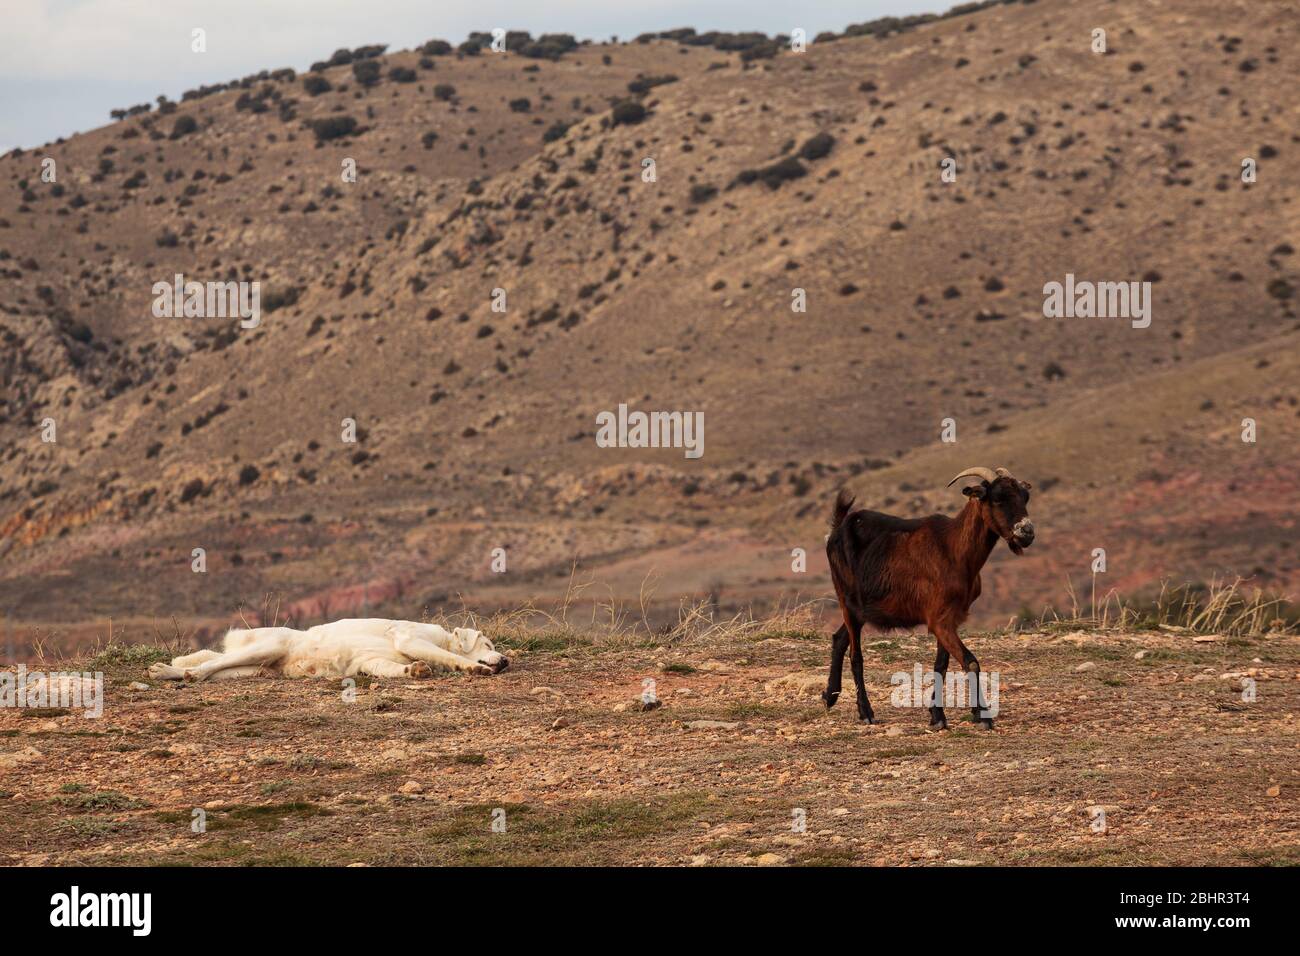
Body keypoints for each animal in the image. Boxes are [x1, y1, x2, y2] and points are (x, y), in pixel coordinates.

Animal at [821, 468, 1034, 728]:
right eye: (998, 499)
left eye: (1025, 497)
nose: (1027, 533)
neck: (954, 549)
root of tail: (838, 527)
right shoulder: (939, 619)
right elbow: (970, 662)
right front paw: (981, 716)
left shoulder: (949, 617)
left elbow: (941, 665)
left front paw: (937, 715)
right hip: (846, 598)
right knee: (856, 655)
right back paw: (866, 712)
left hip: (859, 609)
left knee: (839, 638)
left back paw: (829, 696)